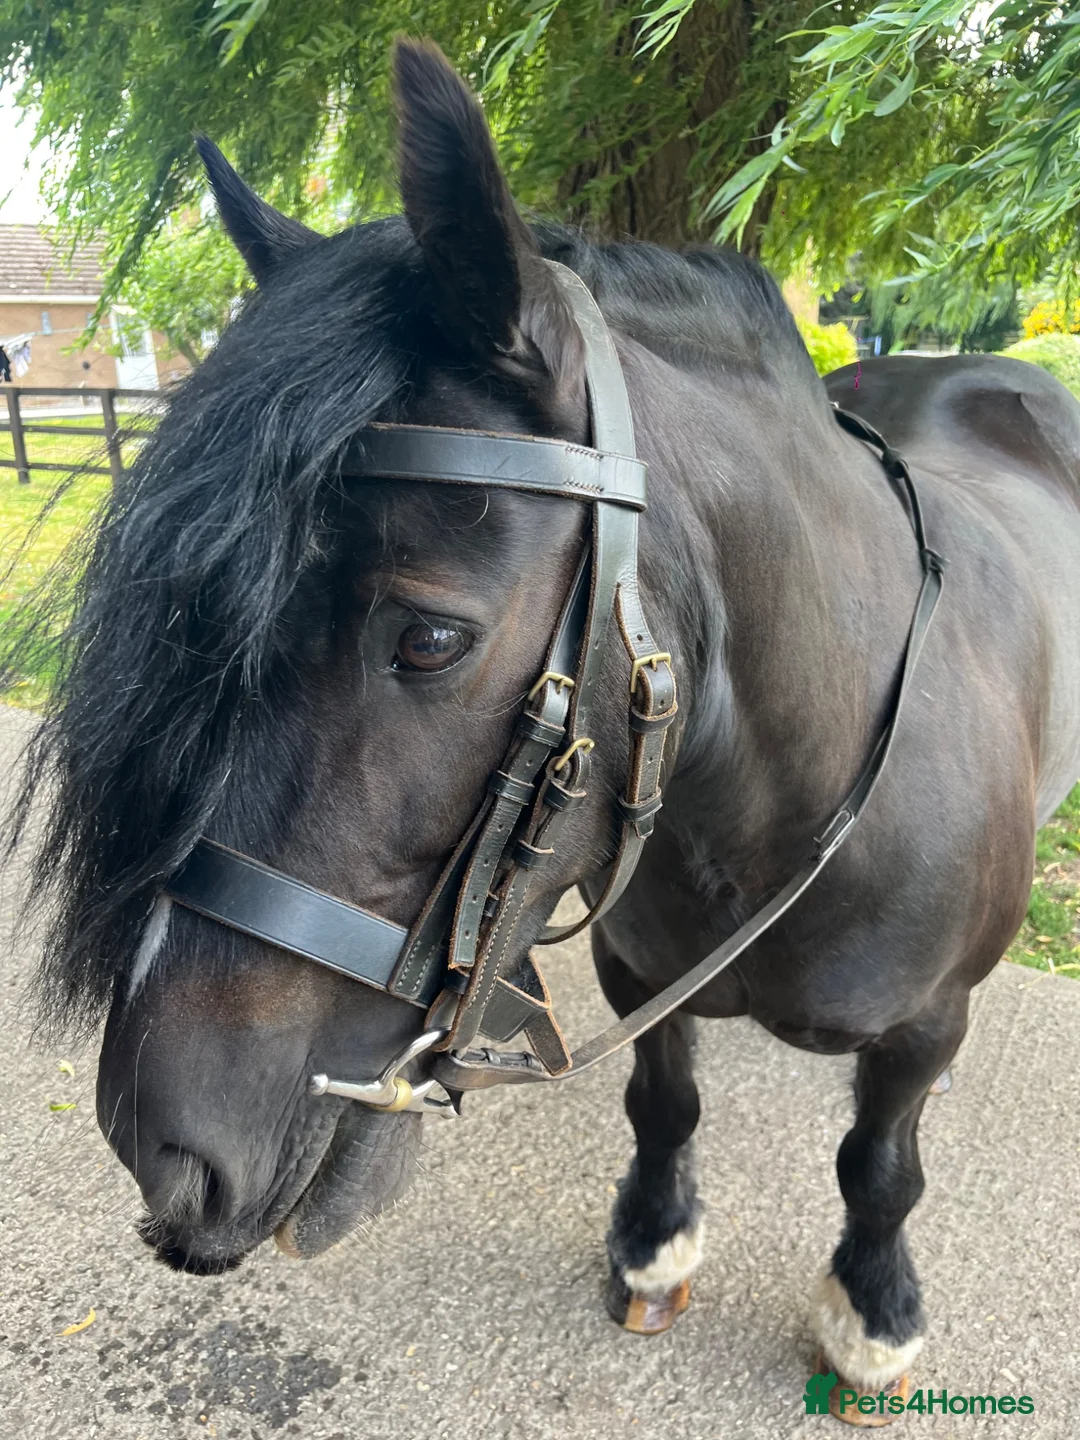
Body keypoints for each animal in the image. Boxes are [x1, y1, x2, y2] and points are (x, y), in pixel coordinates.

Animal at [9, 39, 1080, 1418]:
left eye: (429, 639)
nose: (161, 1151)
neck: (790, 808)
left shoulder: (924, 1023)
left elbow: (881, 1164)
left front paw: (875, 1315)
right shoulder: (638, 972)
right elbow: (663, 1103)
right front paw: (655, 1243)